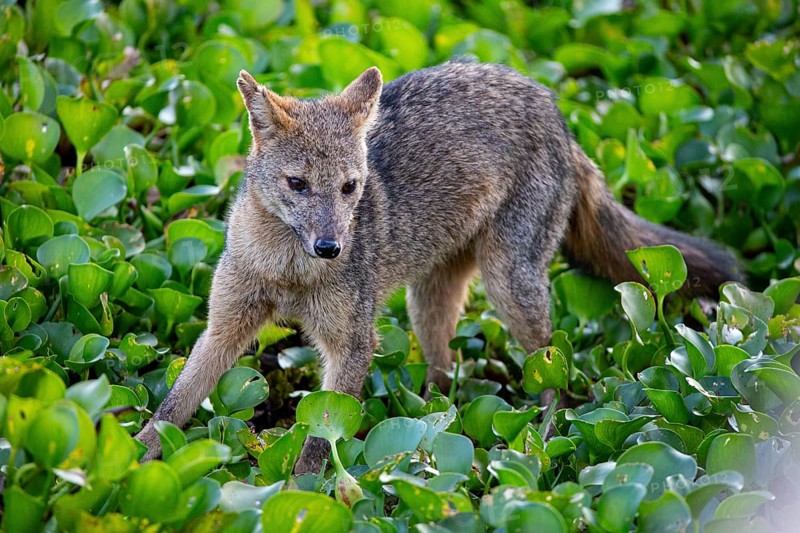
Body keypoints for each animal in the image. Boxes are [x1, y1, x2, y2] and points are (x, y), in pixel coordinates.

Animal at [136, 60, 741, 473]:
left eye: (350, 188)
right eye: (297, 184)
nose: (331, 247)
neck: (289, 271)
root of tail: (557, 111)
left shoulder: (352, 343)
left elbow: (321, 437)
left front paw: (305, 494)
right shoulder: (225, 326)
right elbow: (173, 404)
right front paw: (131, 458)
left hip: (510, 288)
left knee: (554, 374)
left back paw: (537, 449)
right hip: (428, 301)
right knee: (445, 376)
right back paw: (424, 433)